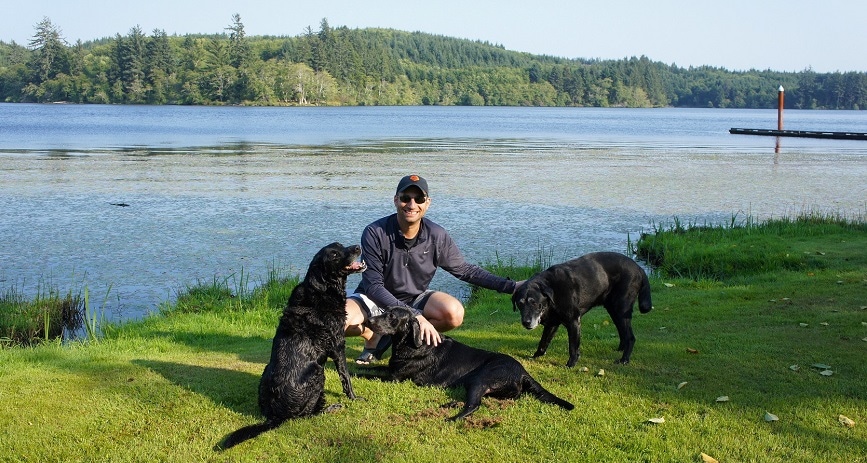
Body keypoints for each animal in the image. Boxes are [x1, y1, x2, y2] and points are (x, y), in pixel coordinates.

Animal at [220, 243, 366, 450]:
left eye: (340, 245)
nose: (357, 247)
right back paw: (331, 408)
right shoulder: (338, 346)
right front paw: (353, 398)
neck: (322, 290)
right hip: (318, 373)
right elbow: (346, 377)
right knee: (307, 416)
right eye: (334, 254)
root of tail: (275, 417)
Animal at [356, 306, 572, 422]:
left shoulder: (395, 378)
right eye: (384, 312)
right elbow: (374, 367)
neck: (411, 342)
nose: (369, 320)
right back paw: (451, 403)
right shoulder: (391, 368)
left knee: (474, 405)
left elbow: (371, 374)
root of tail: (523, 372)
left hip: (481, 379)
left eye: (392, 316)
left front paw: (355, 372)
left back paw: (452, 417)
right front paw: (360, 364)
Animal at [508, 252, 652, 368]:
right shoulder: (552, 324)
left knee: (630, 337)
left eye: (534, 303)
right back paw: (620, 350)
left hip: (621, 309)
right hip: (613, 310)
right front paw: (535, 356)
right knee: (623, 333)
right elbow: (543, 343)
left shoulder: (573, 322)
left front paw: (570, 364)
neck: (553, 291)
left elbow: (573, 347)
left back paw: (624, 360)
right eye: (520, 304)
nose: (526, 322)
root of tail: (639, 268)